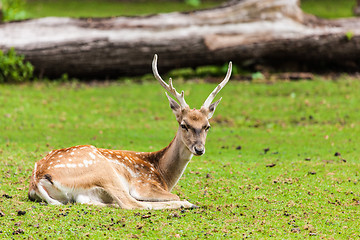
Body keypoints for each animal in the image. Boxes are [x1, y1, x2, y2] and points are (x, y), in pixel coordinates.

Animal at [27, 54, 231, 210]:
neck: (161, 172)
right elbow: (172, 195)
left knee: (93, 202)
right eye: (184, 124)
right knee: (132, 203)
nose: (199, 149)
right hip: (103, 171)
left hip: (82, 193)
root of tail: (37, 181)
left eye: (207, 126)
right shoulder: (144, 184)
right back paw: (188, 204)